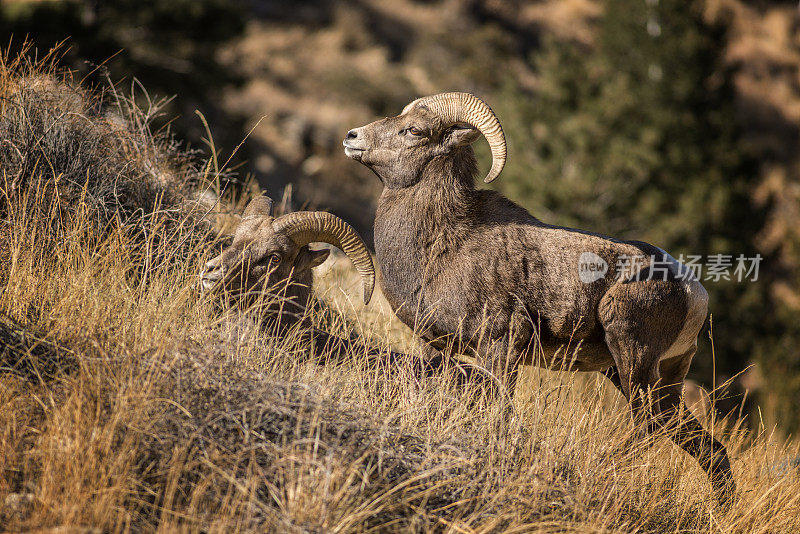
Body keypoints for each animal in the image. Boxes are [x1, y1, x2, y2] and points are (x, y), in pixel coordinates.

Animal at [344, 92, 736, 506]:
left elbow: (500, 414)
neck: (444, 243)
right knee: (704, 447)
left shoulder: (500, 348)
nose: (352, 137)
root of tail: (693, 291)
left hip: (633, 360)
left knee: (646, 428)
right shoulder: (440, 348)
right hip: (652, 380)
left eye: (414, 130)